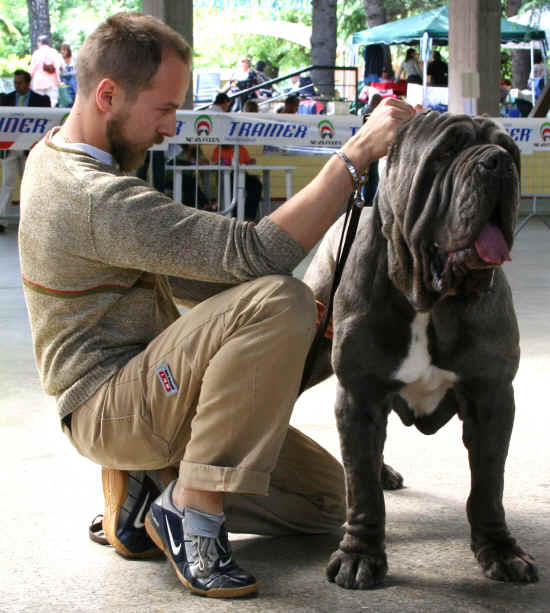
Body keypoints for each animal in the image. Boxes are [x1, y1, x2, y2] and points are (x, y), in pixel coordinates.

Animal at [302, 111, 540, 588]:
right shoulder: (359, 393)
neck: (430, 300)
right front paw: (359, 555)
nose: (497, 163)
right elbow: (361, 489)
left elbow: (489, 484)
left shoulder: (492, 396)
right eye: (446, 152)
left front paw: (500, 550)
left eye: (511, 149)